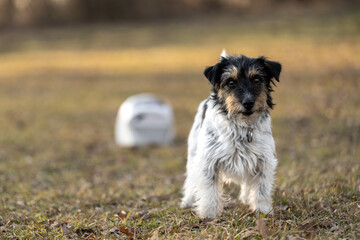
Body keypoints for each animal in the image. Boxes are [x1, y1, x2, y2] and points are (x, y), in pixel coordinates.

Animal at [180, 51, 282, 219]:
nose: (248, 103)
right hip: (193, 154)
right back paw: (188, 200)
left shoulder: (263, 161)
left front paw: (262, 210)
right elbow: (209, 189)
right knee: (191, 180)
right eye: (230, 82)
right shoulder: (208, 162)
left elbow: (261, 188)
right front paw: (209, 213)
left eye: (257, 79)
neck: (241, 127)